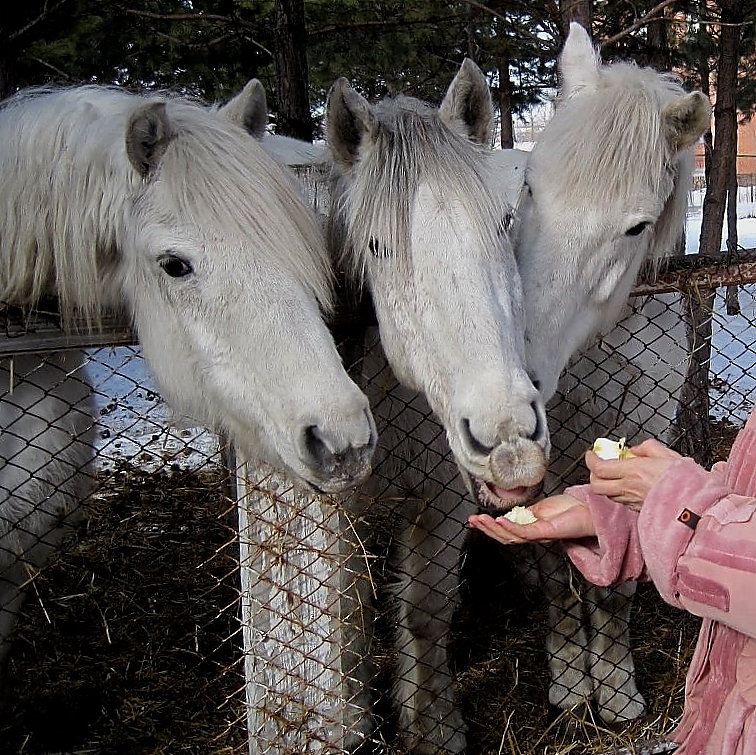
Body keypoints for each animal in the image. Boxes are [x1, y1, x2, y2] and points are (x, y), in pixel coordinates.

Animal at [490, 25, 708, 728]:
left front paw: (614, 689)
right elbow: (560, 579)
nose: (517, 373)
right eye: (531, 188)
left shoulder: (634, 432)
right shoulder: (547, 457)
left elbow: (615, 587)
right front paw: (570, 683)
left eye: (637, 226)